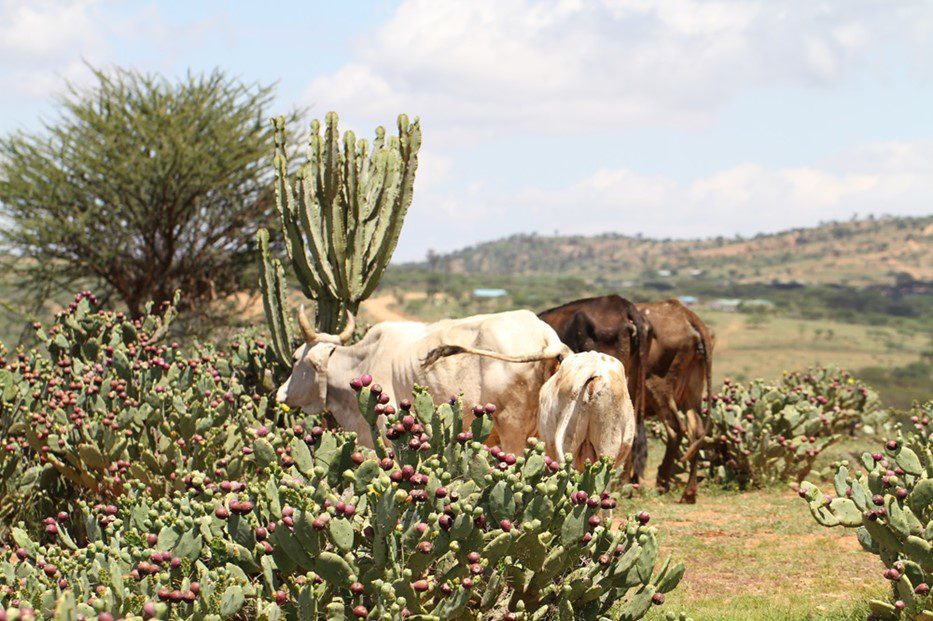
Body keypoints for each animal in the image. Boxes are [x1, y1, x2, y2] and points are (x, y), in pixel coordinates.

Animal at [636, 299, 714, 504]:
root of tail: (684, 312)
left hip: (658, 387)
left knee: (676, 429)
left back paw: (662, 481)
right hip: (693, 392)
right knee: (696, 433)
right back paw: (689, 493)